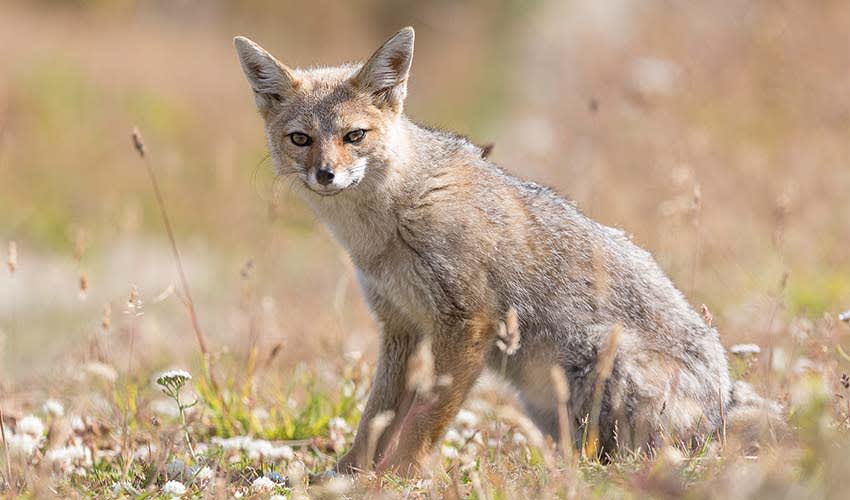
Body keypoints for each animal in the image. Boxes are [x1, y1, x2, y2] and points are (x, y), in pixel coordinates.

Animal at [234, 27, 780, 475]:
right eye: (301, 139)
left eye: (354, 135)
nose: (325, 175)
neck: (387, 229)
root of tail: (725, 400)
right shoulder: (403, 327)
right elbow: (376, 416)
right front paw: (348, 474)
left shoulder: (468, 324)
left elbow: (425, 419)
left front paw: (399, 476)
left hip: (603, 363)